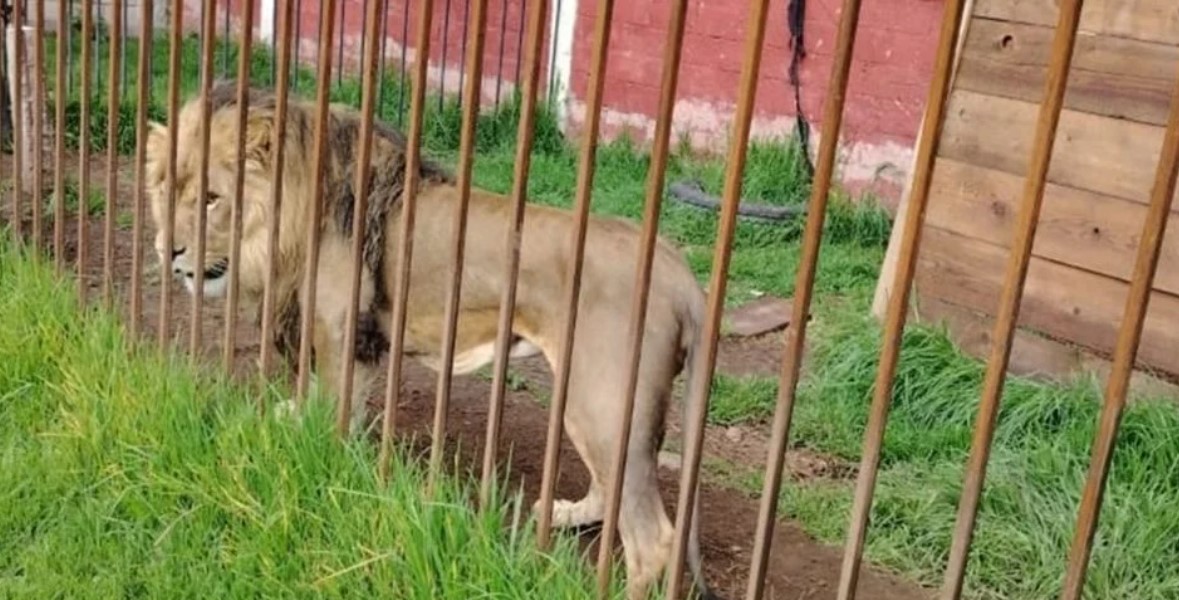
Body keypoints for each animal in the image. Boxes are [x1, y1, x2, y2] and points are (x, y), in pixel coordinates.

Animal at [147, 80, 716, 598]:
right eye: (166, 191)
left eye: (212, 199)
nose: (166, 250)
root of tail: (679, 272)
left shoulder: (339, 332)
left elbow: (331, 418)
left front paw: (318, 462)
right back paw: (564, 513)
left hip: (602, 397)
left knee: (652, 540)